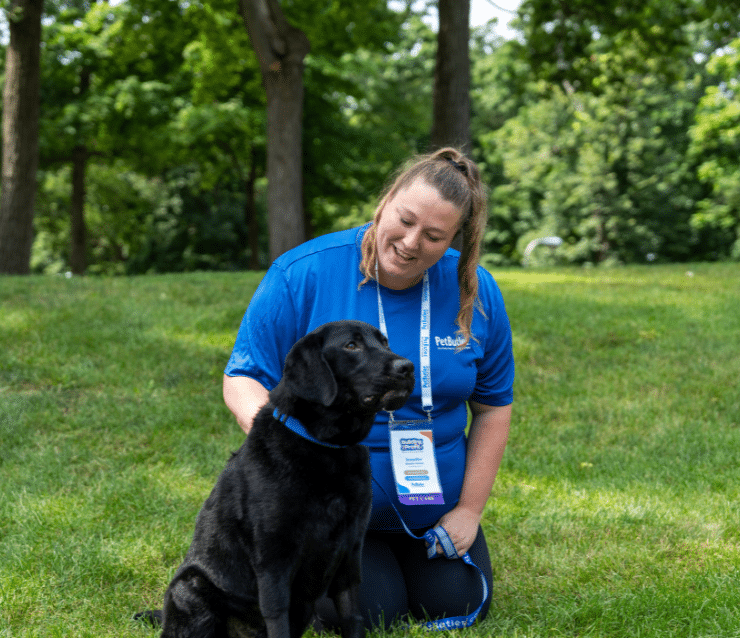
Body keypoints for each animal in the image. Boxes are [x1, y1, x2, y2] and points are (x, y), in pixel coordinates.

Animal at [155, 322, 414, 636]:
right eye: (352, 345)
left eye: (384, 343)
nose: (407, 367)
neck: (327, 449)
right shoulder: (274, 560)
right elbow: (278, 619)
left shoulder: (350, 555)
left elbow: (353, 616)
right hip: (191, 589)